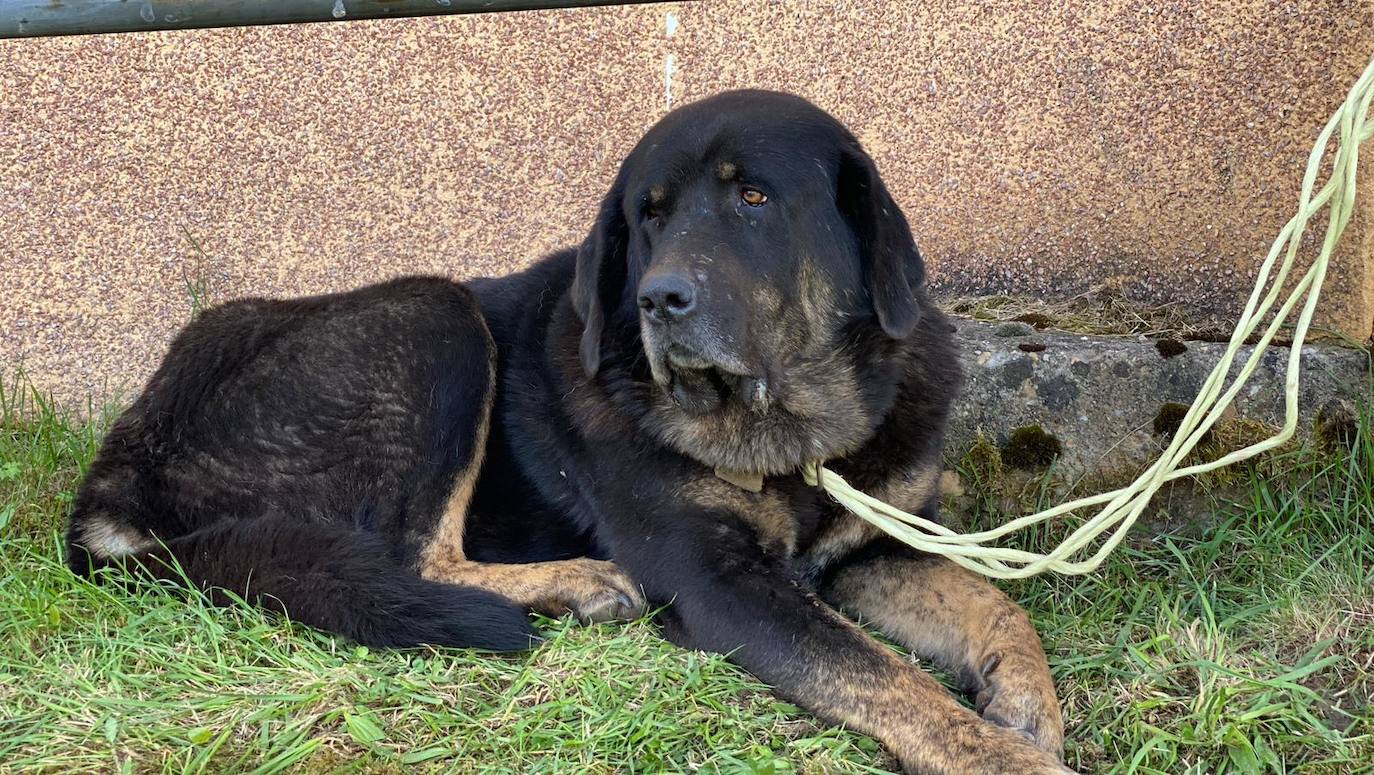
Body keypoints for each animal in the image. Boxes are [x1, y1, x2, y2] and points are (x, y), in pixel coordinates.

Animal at [66, 92, 1071, 775]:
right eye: (648, 214)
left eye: (753, 199)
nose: (661, 298)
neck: (796, 434)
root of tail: (121, 462)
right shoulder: (719, 583)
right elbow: (884, 674)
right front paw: (1000, 754)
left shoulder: (869, 548)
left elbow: (998, 605)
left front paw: (1025, 702)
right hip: (436, 315)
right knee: (417, 556)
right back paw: (577, 583)